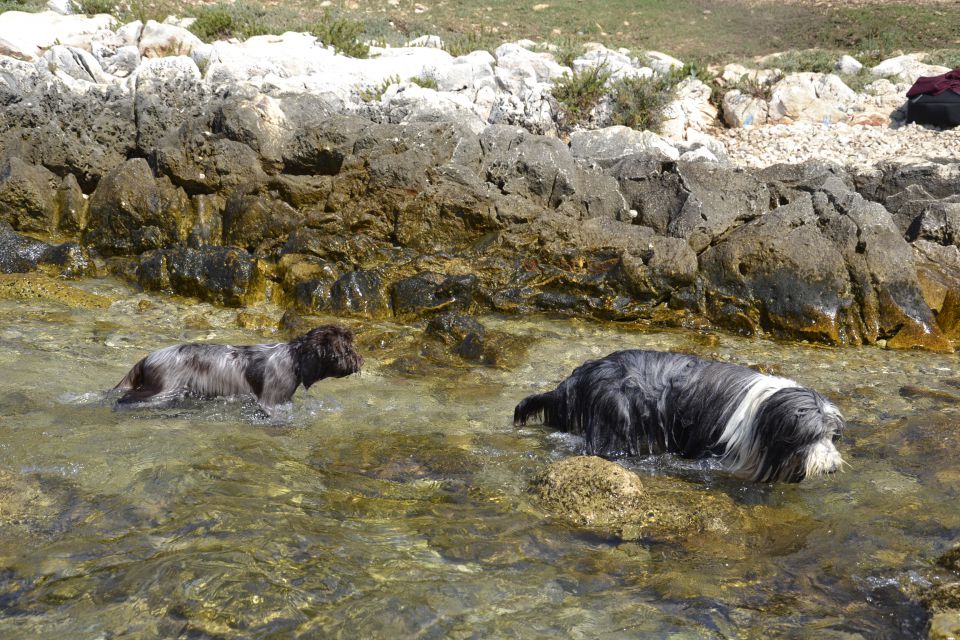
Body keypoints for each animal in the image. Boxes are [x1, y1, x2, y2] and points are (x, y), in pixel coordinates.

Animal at [114, 328, 362, 412]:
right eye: (346, 350)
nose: (360, 360)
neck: (294, 358)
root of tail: (148, 357)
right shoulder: (270, 402)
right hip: (162, 390)